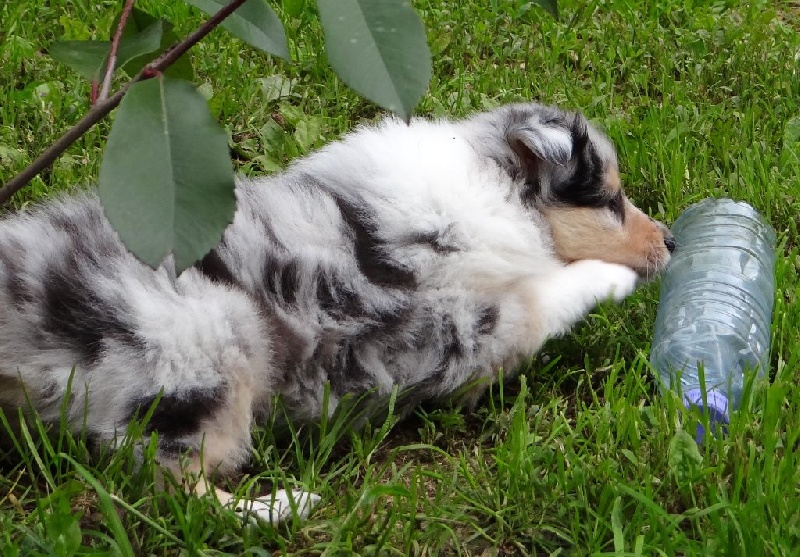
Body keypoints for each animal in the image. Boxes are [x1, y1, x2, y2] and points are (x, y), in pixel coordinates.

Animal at [0, 103, 674, 523]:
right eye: (611, 201)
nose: (671, 241)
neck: (496, 189)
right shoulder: (456, 326)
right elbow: (543, 296)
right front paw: (611, 278)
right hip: (205, 347)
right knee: (166, 487)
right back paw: (281, 507)